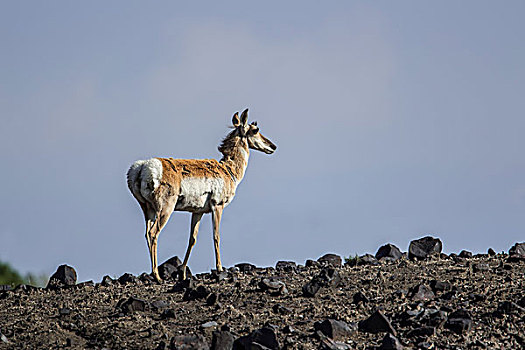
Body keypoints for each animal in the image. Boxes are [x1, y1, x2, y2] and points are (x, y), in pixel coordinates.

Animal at [127, 109, 276, 282]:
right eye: (255, 130)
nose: (273, 146)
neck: (228, 169)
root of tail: (143, 166)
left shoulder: (197, 212)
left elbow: (192, 239)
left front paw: (183, 272)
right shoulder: (217, 207)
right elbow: (216, 235)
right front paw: (219, 268)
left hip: (148, 209)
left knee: (147, 233)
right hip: (165, 209)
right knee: (153, 233)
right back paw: (156, 275)